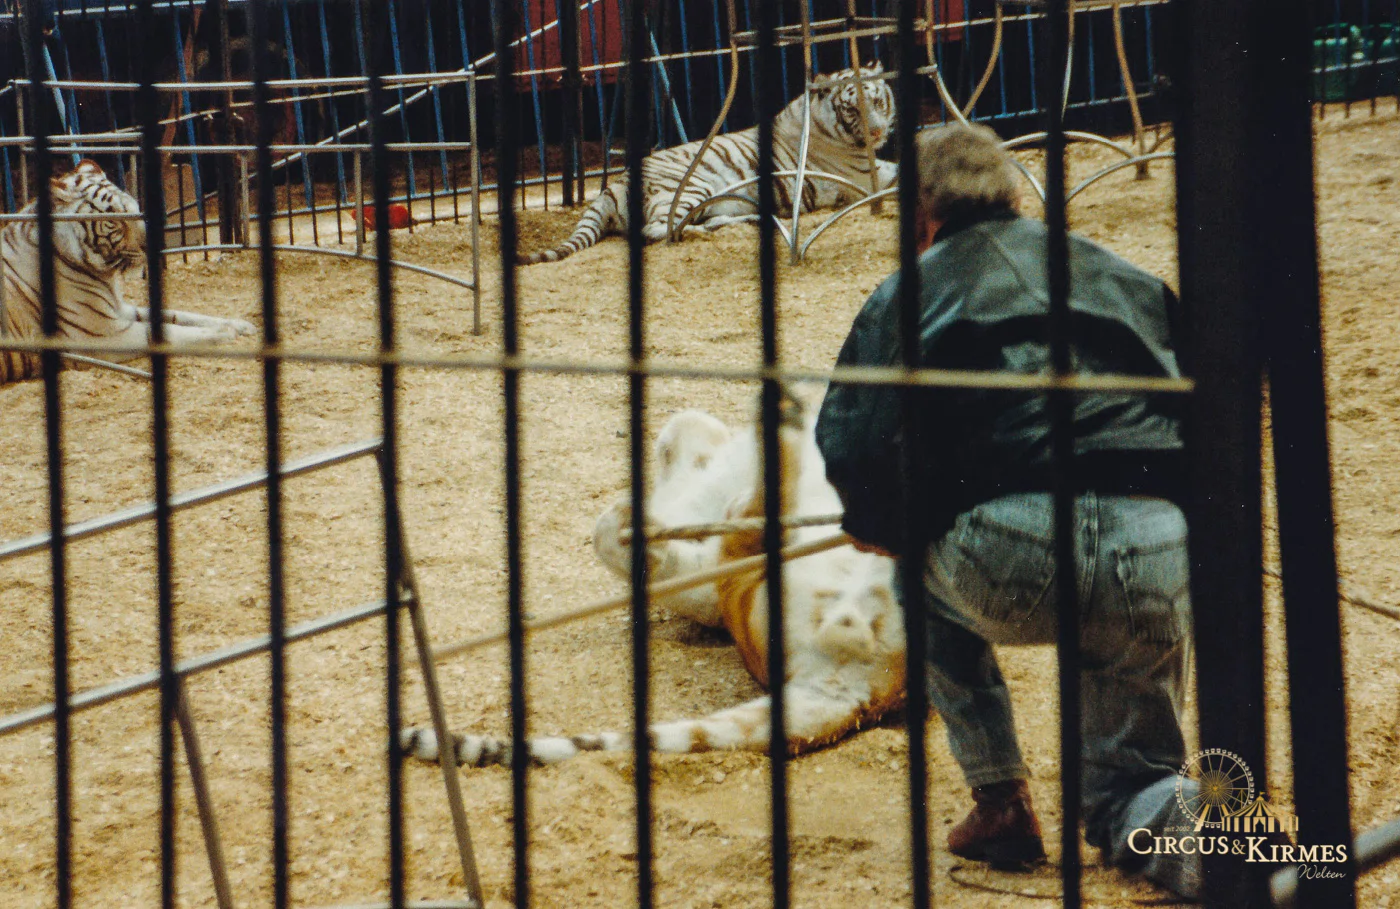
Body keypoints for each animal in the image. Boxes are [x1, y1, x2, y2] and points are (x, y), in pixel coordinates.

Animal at [1, 159, 256, 384]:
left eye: (136, 209)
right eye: (114, 220)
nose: (152, 243)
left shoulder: (119, 310)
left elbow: (180, 315)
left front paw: (240, 325)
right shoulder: (102, 334)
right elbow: (167, 333)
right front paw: (224, 332)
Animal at [520, 61, 898, 264]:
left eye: (878, 101)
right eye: (851, 109)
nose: (878, 131)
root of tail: (610, 187)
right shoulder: (866, 177)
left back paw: (750, 221)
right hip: (690, 187)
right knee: (657, 229)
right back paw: (698, 234)